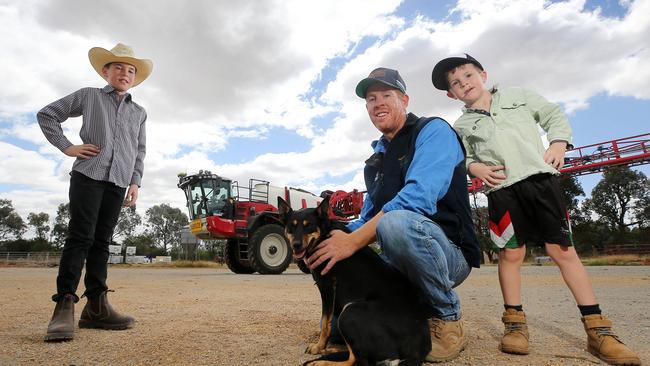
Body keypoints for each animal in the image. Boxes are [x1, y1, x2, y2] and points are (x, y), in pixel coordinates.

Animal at [274, 197, 430, 366]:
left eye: (308, 226)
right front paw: (323, 347)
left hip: (349, 312)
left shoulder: (327, 286)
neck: (324, 235)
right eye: (291, 226)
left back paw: (323, 361)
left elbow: (325, 323)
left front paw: (319, 347)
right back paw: (333, 350)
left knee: (357, 360)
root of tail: (417, 351)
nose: (296, 245)